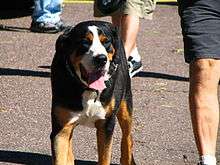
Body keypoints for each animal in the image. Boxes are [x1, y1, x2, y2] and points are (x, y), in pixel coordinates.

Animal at [50, 20, 136, 165]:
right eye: (85, 42)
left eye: (106, 42)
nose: (101, 59)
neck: (88, 90)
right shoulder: (61, 129)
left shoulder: (106, 125)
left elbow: (105, 157)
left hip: (125, 104)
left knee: (127, 136)